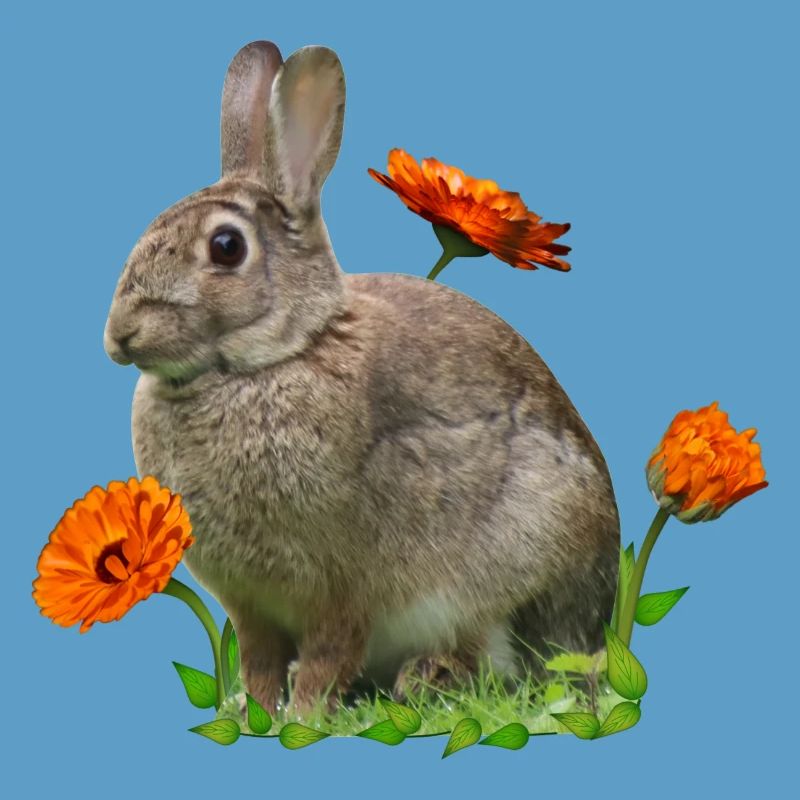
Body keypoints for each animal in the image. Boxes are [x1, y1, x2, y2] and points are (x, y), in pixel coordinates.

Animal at [104, 40, 620, 712]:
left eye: (226, 247)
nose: (120, 335)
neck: (273, 358)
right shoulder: (252, 607)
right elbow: (260, 662)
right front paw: (254, 712)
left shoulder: (339, 589)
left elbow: (329, 654)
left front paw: (303, 717)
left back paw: (429, 678)